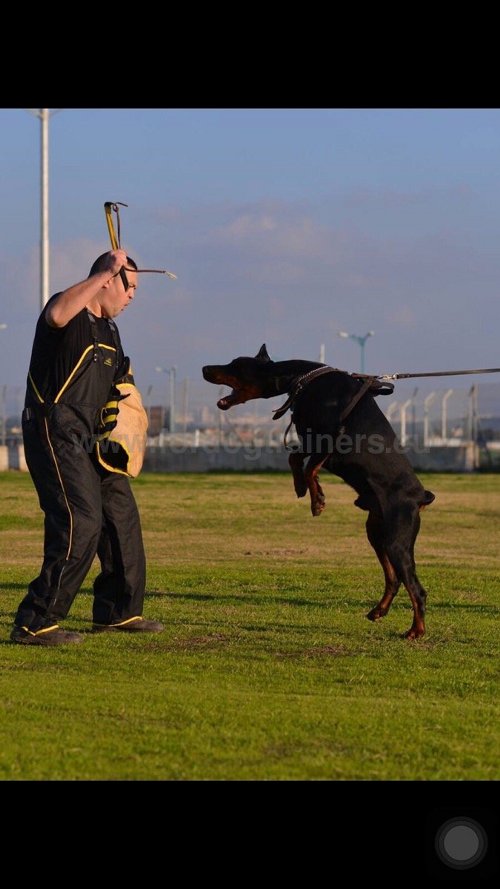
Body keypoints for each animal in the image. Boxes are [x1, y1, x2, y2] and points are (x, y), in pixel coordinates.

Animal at [202, 342, 434, 640]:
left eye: (234, 364)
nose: (204, 369)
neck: (302, 379)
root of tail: (420, 496)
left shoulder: (331, 436)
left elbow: (310, 466)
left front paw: (318, 500)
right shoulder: (309, 436)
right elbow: (296, 459)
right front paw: (303, 488)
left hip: (397, 539)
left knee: (417, 589)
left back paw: (416, 630)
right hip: (376, 533)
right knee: (393, 579)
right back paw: (378, 611)